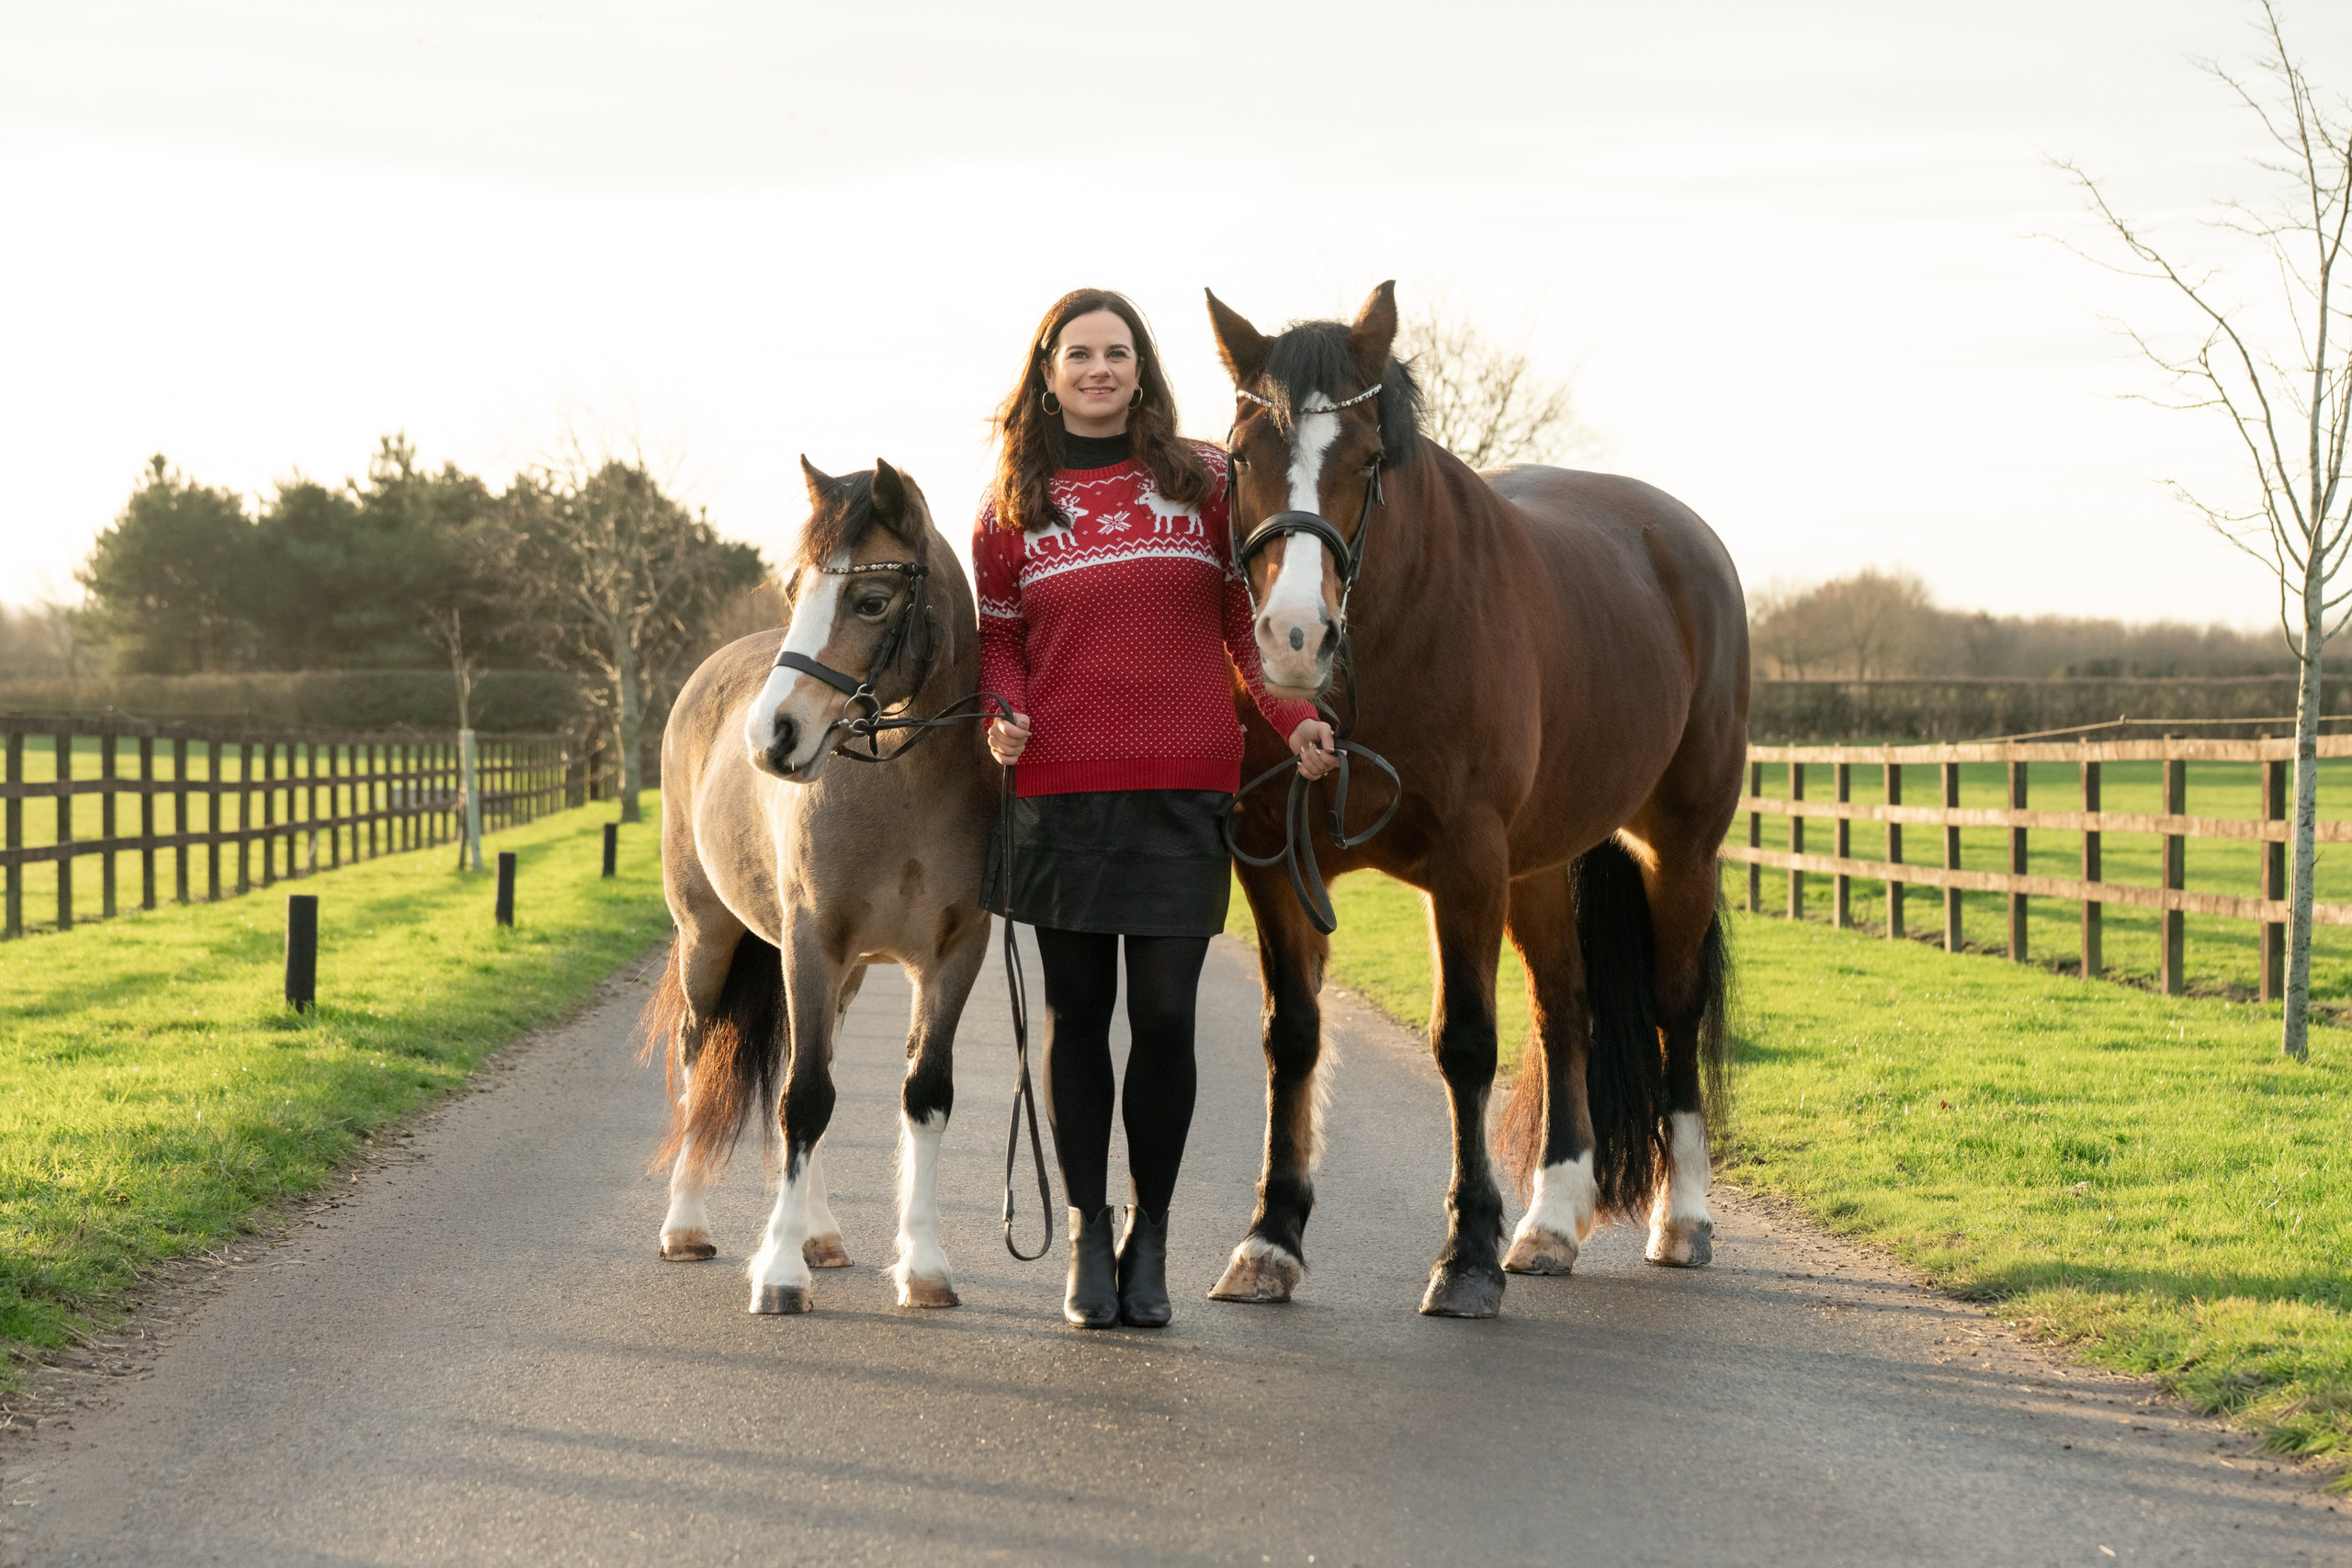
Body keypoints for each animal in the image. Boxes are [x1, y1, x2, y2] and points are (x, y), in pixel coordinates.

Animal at [640, 457, 999, 1314]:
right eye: (793, 588)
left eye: (871, 600)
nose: (773, 735)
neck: (904, 787)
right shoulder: (809, 943)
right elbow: (802, 1098)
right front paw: (777, 1272)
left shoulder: (954, 955)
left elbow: (922, 1093)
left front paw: (924, 1266)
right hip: (708, 936)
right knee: (700, 1049)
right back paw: (687, 1222)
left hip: (841, 974)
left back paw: (821, 1233)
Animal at [1203, 282, 1747, 1319]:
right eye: (1242, 454)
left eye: (1368, 459)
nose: (1293, 637)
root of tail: (1680, 537)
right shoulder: (1276, 858)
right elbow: (1292, 1037)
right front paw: (1270, 1240)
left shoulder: (1465, 864)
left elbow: (1463, 1044)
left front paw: (1465, 1255)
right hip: (1539, 865)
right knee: (1564, 1009)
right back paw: (1550, 1223)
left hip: (1680, 848)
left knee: (1674, 1005)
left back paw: (1683, 1219)